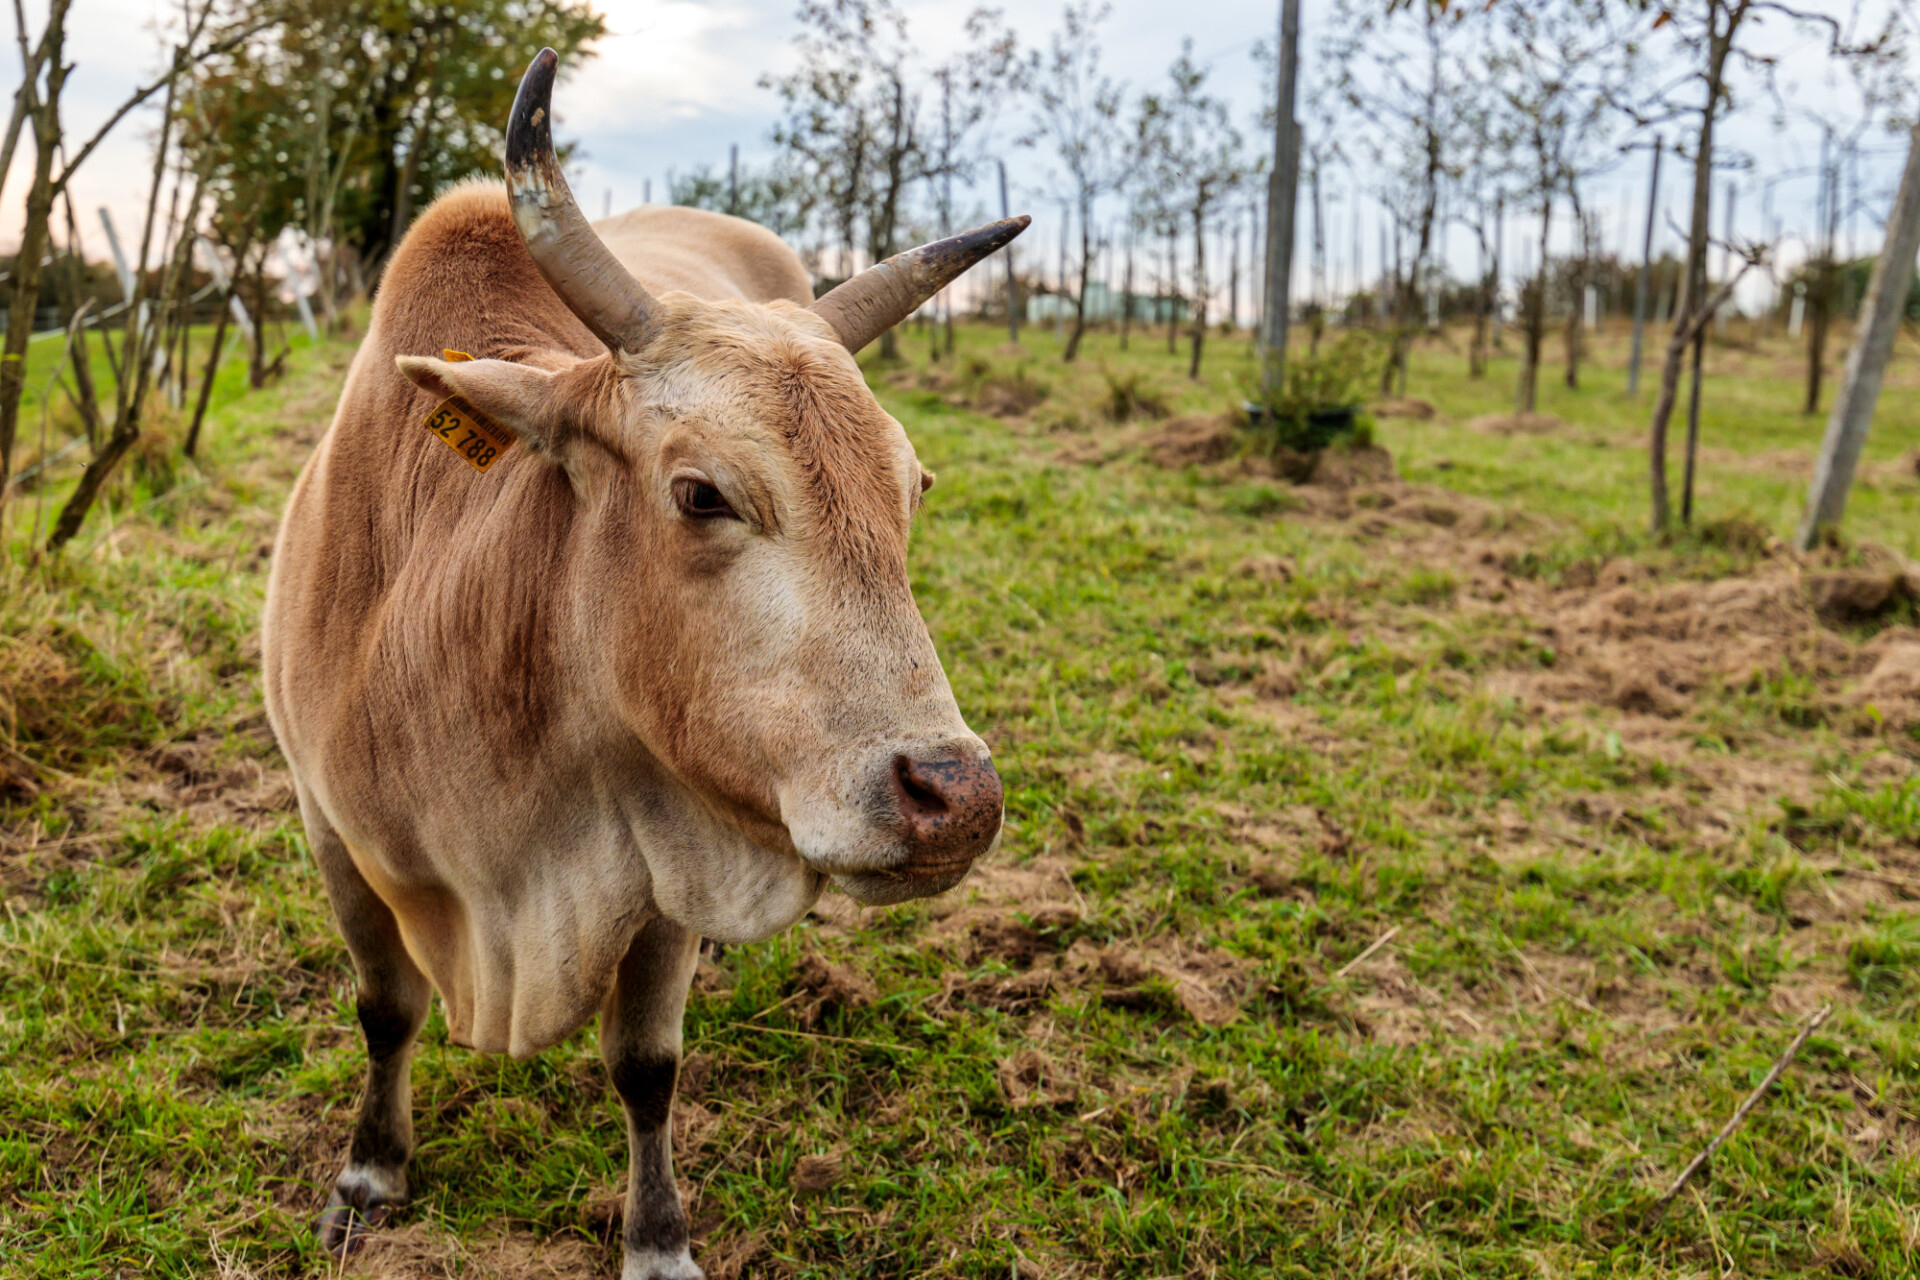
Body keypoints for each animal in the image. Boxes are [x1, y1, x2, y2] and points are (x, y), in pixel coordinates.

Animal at [263, 45, 1029, 1274]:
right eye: (702, 493)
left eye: (910, 488)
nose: (955, 801)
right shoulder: (331, 823)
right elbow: (385, 1008)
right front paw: (368, 1171)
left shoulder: (673, 840)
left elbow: (645, 1067)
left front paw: (657, 1236)